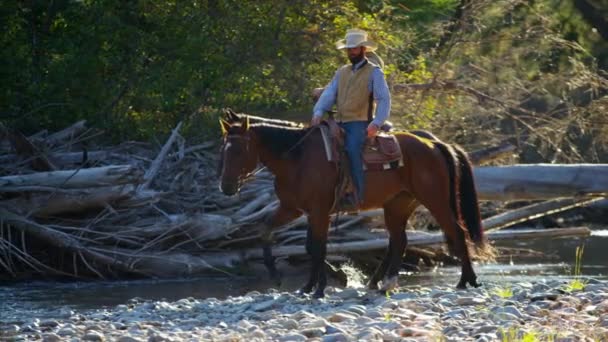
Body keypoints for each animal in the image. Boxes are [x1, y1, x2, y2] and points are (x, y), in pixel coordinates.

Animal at [218, 111, 490, 296]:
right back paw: (384, 283)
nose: (226, 187)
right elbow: (271, 231)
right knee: (399, 241)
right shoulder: (293, 209)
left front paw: (319, 287)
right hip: (397, 205)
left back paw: (466, 280)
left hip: (436, 200)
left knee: (457, 231)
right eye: (224, 149)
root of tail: (434, 144)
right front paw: (287, 279)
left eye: (239, 150)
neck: (296, 160)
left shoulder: (320, 211)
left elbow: (317, 247)